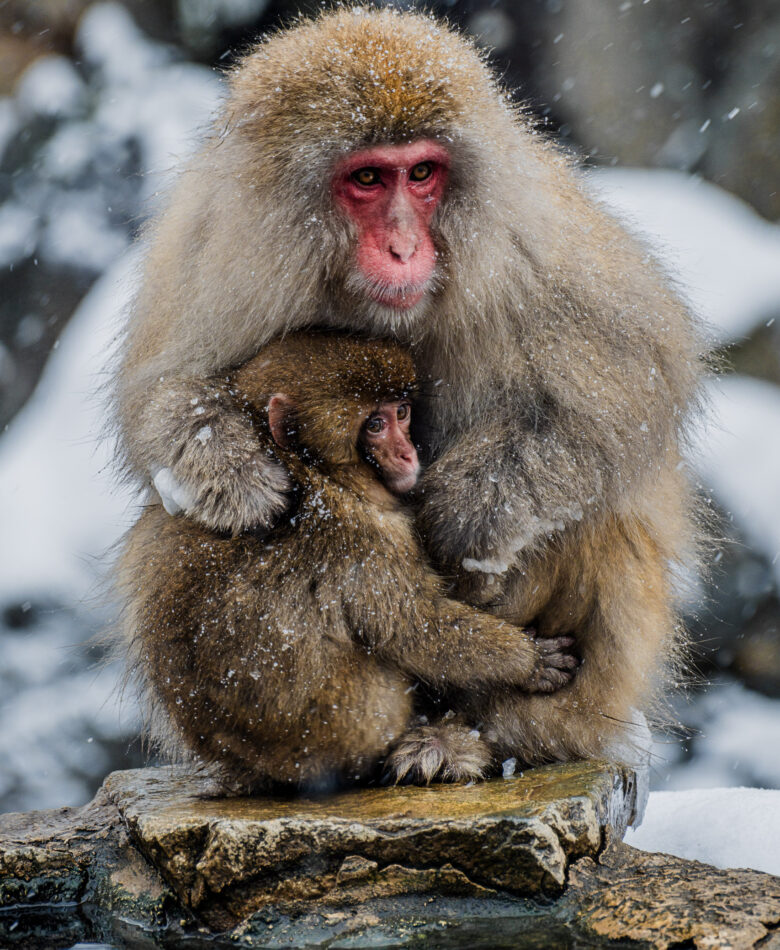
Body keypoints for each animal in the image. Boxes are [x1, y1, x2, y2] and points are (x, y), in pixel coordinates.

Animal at [117, 333, 578, 791]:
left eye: (401, 412)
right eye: (375, 425)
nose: (409, 454)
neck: (313, 469)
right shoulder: (365, 537)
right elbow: (413, 626)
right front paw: (526, 661)